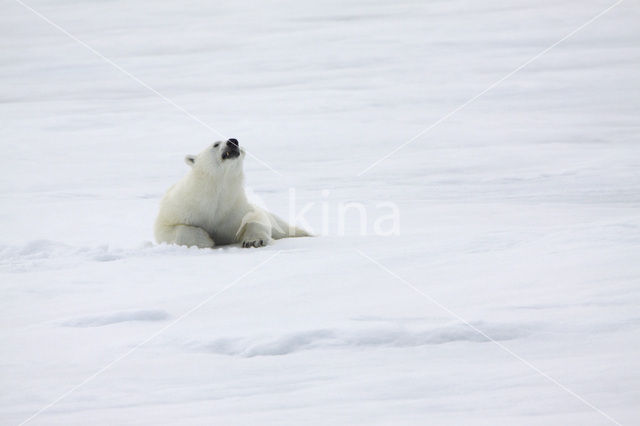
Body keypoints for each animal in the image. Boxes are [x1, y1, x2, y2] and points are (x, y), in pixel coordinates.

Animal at [152, 138, 308, 248]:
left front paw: (253, 241)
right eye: (215, 144)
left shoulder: (234, 209)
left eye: (237, 142)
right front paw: (205, 240)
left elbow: (256, 217)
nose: (233, 141)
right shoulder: (180, 207)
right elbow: (168, 229)